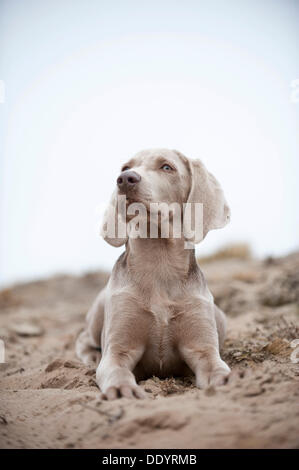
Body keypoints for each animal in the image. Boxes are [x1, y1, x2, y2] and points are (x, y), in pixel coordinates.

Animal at [77, 149, 232, 398]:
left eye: (167, 167)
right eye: (125, 168)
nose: (125, 179)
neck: (160, 263)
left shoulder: (203, 349)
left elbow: (217, 367)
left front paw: (227, 380)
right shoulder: (117, 351)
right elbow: (117, 370)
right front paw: (122, 389)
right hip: (101, 306)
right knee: (83, 337)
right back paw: (92, 356)